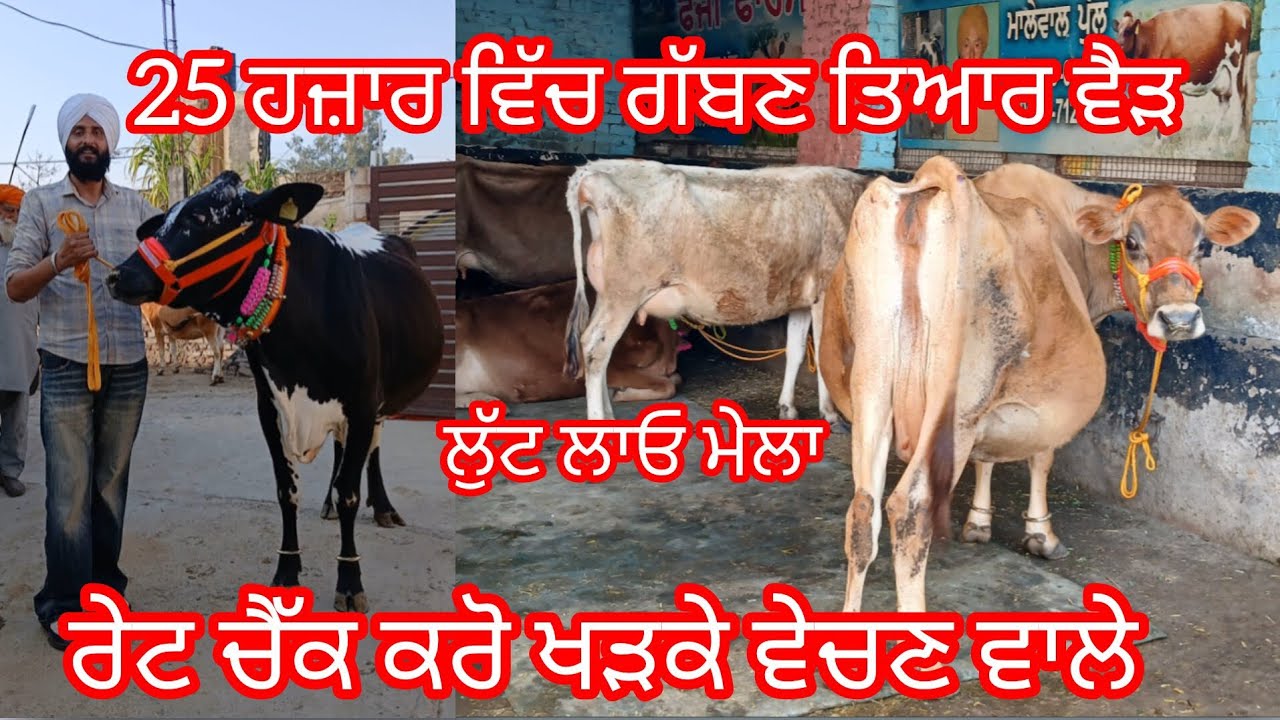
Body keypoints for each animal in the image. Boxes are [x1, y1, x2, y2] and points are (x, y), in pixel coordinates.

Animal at [105, 170, 446, 613]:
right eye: (163, 219)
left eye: (199, 218)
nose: (117, 275)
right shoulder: (269, 408)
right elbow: (287, 492)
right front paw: (286, 572)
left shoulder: (362, 403)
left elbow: (351, 493)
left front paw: (350, 580)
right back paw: (327, 503)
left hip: (380, 399)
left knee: (371, 449)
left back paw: (384, 507)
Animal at [562, 159, 870, 424]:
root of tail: (593, 170)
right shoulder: (825, 292)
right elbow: (824, 355)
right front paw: (829, 413)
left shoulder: (801, 299)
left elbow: (795, 352)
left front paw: (787, 407)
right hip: (624, 294)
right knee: (595, 347)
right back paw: (600, 421)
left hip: (607, 295)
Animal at [828, 155, 1256, 614]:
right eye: (1132, 243)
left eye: (1199, 245)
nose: (1179, 319)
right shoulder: (1035, 405)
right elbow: (1041, 457)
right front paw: (1041, 535)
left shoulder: (996, 402)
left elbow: (987, 458)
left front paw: (978, 522)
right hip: (954, 410)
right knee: (911, 512)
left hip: (873, 387)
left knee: (862, 513)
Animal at [1114, 2, 1251, 138]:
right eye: (1117, 30)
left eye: (1128, 31)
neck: (1150, 40)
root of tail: (1240, 5)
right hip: (1221, 74)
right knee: (1225, 103)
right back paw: (1212, 138)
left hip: (1237, 65)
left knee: (1239, 99)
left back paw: (1233, 138)